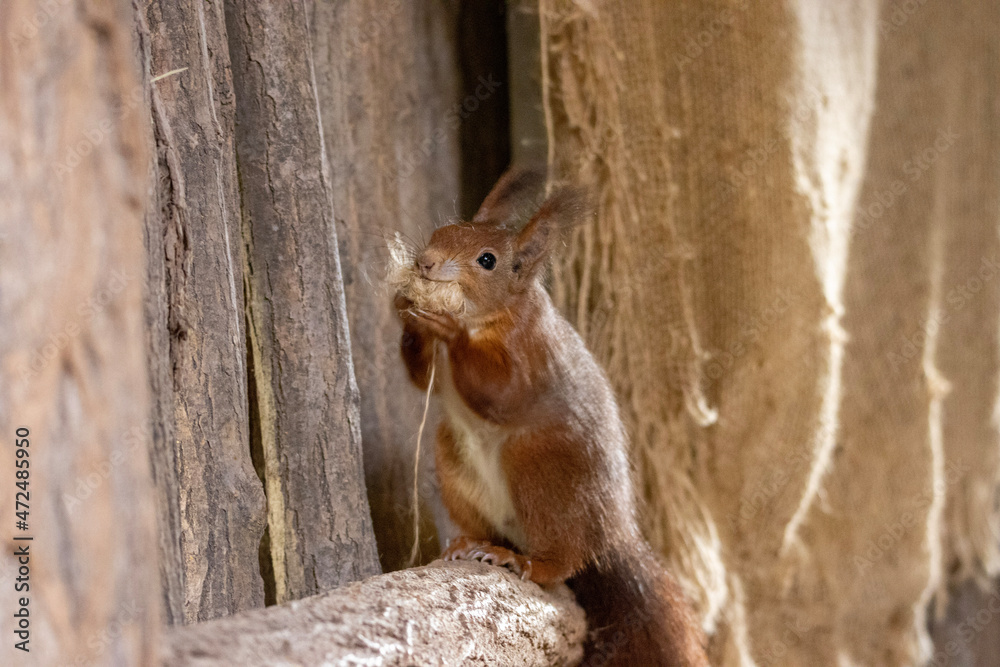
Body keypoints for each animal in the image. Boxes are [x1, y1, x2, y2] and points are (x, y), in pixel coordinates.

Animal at [394, 167, 708, 666]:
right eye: (442, 232)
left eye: (487, 260)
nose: (425, 263)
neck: (493, 317)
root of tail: (610, 537)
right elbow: (421, 375)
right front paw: (408, 314)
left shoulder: (530, 352)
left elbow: (501, 393)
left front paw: (447, 327)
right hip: (454, 459)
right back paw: (471, 543)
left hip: (539, 469)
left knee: (562, 563)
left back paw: (524, 561)